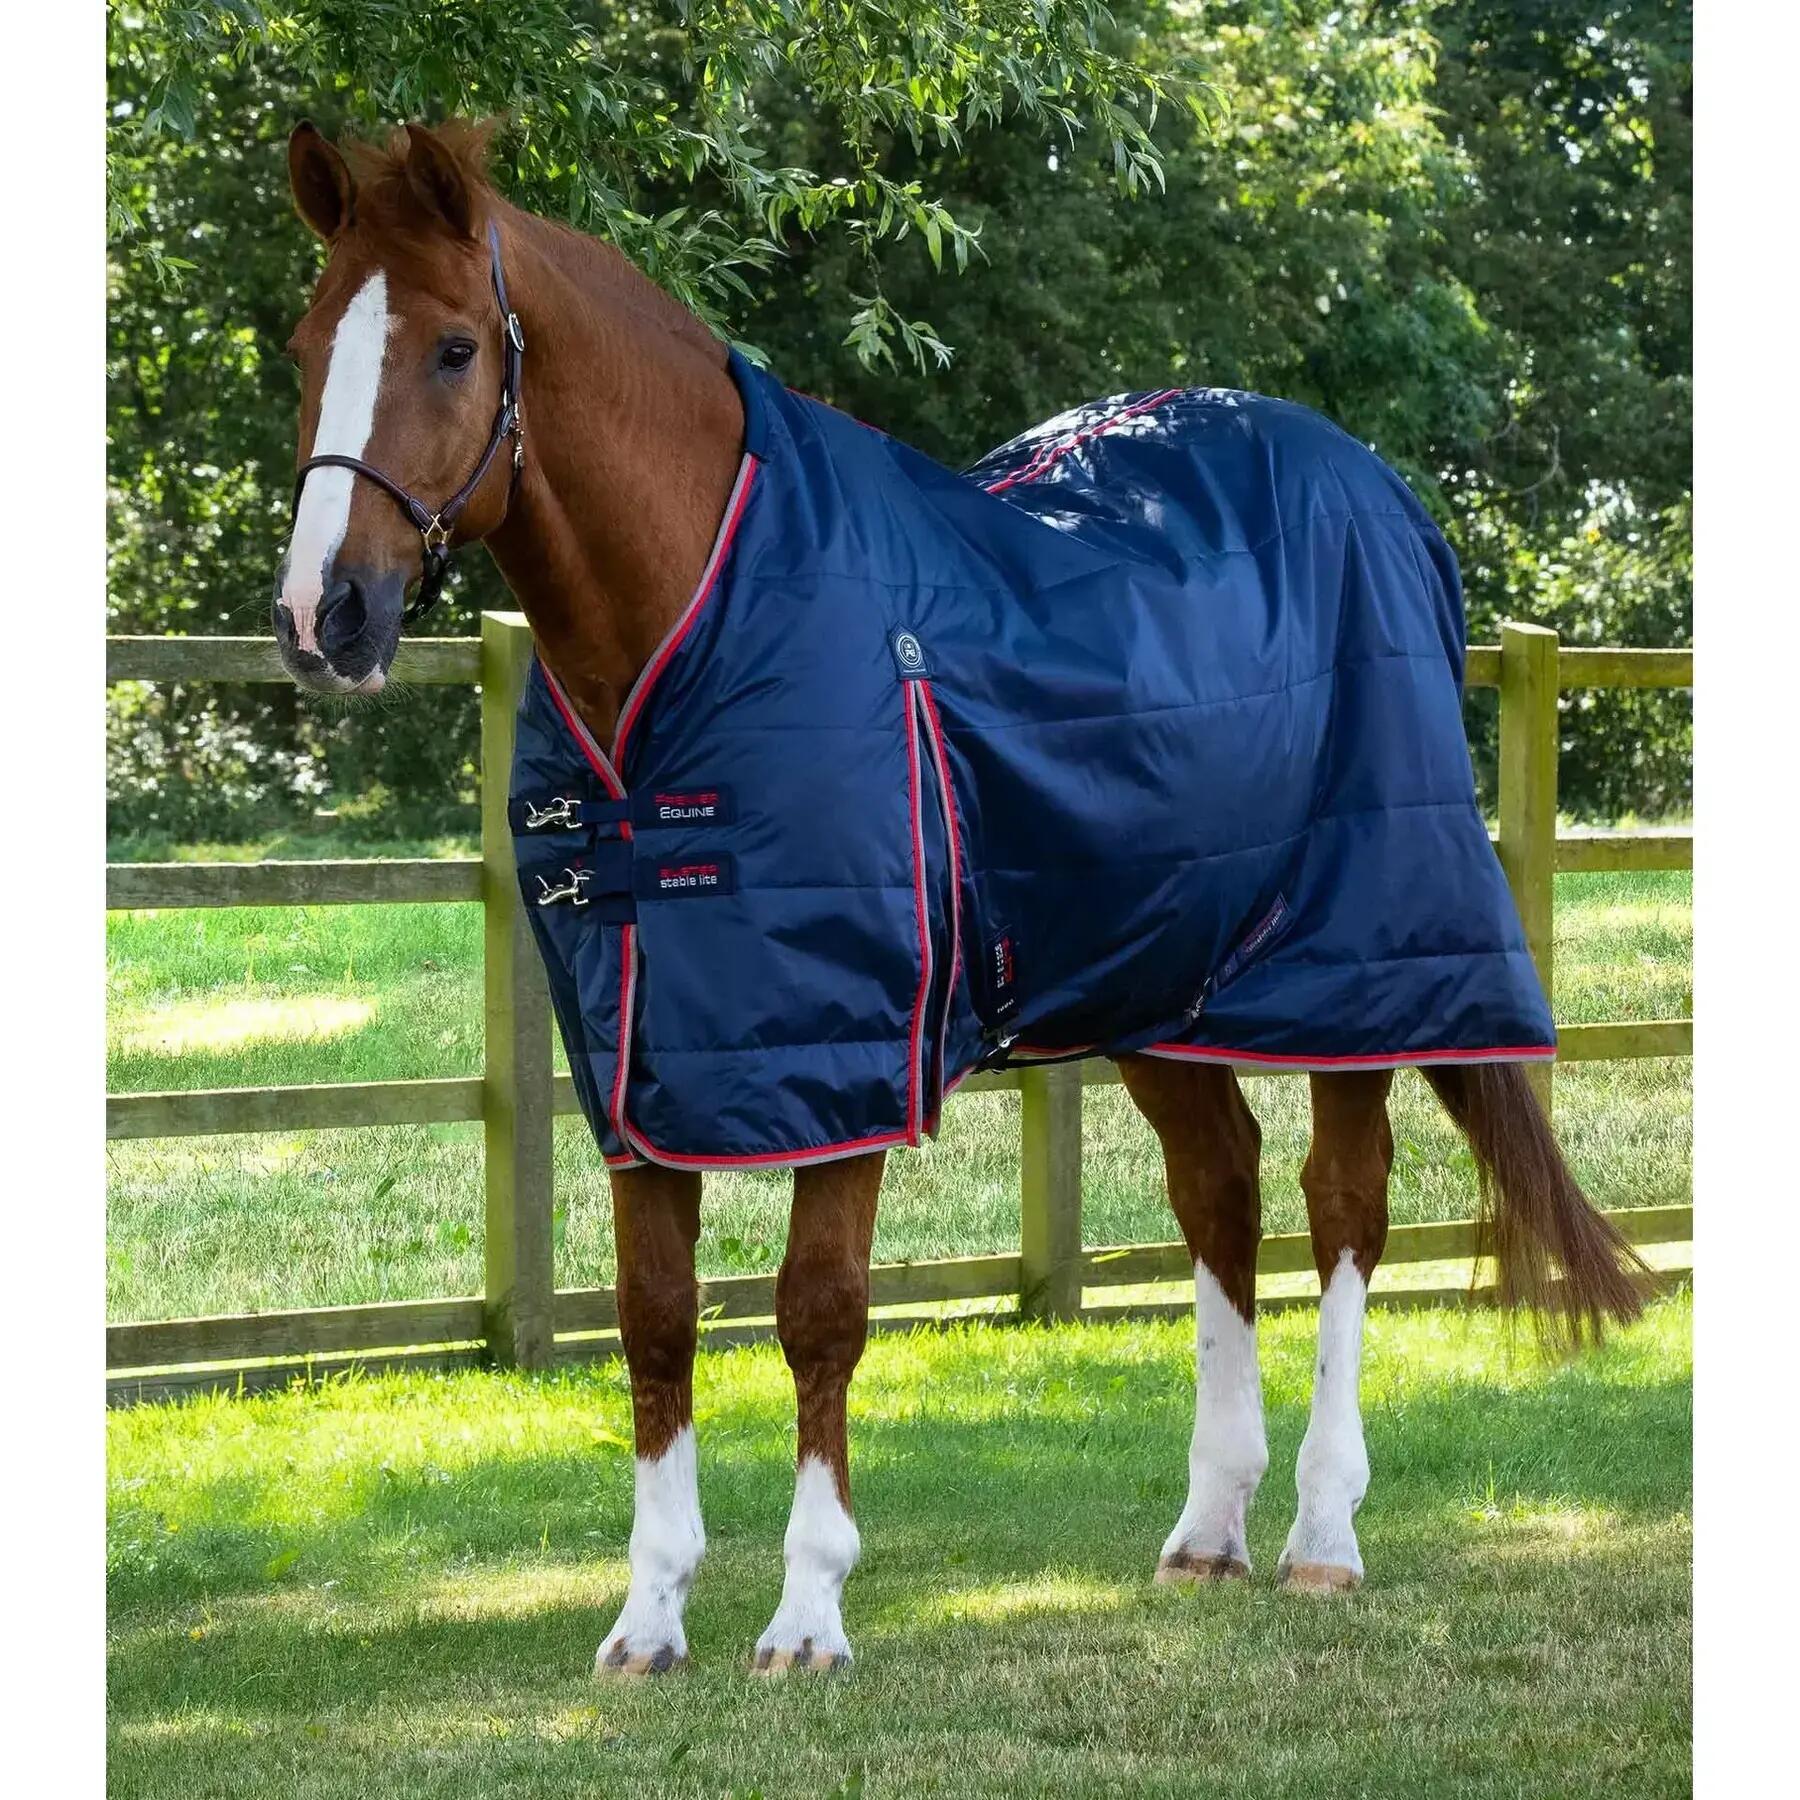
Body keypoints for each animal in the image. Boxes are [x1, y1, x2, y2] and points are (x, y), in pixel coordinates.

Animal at [271, 119, 1646, 1675]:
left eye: (454, 348)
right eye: (310, 341)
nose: (325, 616)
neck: (696, 622)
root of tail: (1388, 499)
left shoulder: (851, 1048)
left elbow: (817, 1313)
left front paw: (808, 1613)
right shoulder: (643, 1059)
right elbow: (655, 1319)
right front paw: (648, 1618)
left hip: (1357, 971)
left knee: (1342, 1202)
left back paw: (1321, 1535)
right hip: (1155, 976)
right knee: (1221, 1191)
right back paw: (1208, 1531)